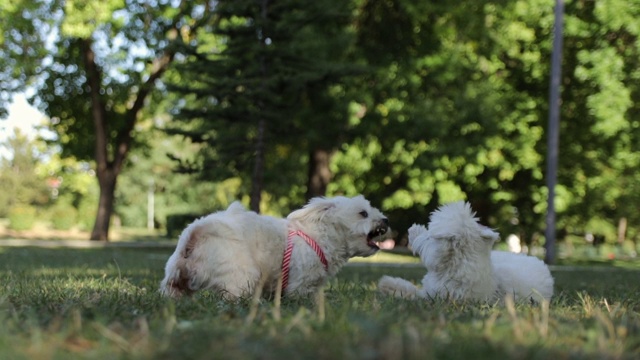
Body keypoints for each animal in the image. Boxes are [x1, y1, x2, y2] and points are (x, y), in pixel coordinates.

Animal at [161, 195, 390, 300]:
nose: (386, 220)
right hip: (242, 275)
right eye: (363, 213)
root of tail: (195, 234)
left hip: (175, 277)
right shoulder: (300, 283)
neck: (319, 235)